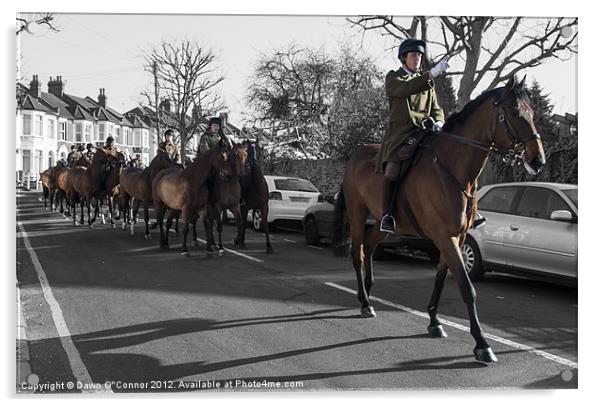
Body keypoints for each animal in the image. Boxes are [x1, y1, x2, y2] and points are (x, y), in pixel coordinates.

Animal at [330, 75, 548, 364]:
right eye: (514, 111)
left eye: (532, 112)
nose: (538, 159)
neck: (452, 167)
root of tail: (356, 155)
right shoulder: (445, 237)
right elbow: (467, 287)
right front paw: (482, 343)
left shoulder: (457, 237)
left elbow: (441, 278)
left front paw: (434, 321)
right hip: (356, 213)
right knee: (358, 253)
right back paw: (365, 302)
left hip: (382, 224)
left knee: (370, 247)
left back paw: (365, 292)